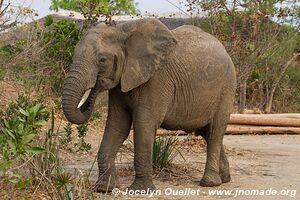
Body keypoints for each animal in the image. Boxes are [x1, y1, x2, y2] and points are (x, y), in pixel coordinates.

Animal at [62, 18, 237, 192]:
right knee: (207, 132)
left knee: (215, 131)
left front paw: (140, 190)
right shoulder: (121, 83)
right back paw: (225, 178)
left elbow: (143, 124)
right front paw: (104, 188)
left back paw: (210, 183)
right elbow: (118, 125)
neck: (122, 31)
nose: (97, 84)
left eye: (102, 60)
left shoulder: (156, 80)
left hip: (227, 88)